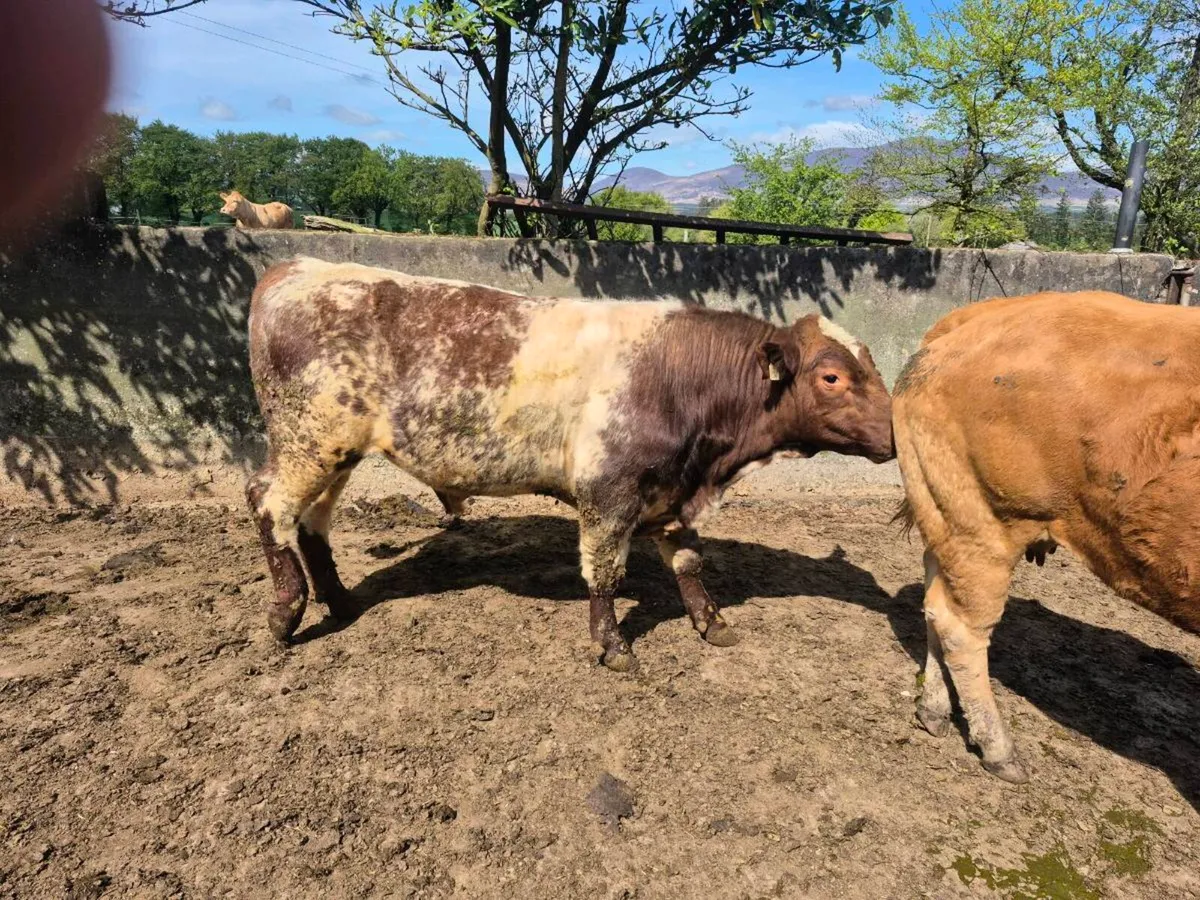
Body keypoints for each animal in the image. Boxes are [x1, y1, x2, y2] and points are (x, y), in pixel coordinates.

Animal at [244, 257, 895, 671]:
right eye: (831, 376)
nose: (895, 435)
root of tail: (295, 267)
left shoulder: (675, 493)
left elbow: (689, 563)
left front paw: (712, 623)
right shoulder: (609, 491)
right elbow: (603, 573)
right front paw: (613, 647)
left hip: (336, 453)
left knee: (312, 522)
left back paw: (340, 601)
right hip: (308, 441)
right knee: (268, 503)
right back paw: (286, 613)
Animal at [893, 290, 1200, 784]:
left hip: (948, 511)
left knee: (936, 603)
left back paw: (935, 710)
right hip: (986, 521)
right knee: (962, 626)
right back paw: (999, 750)